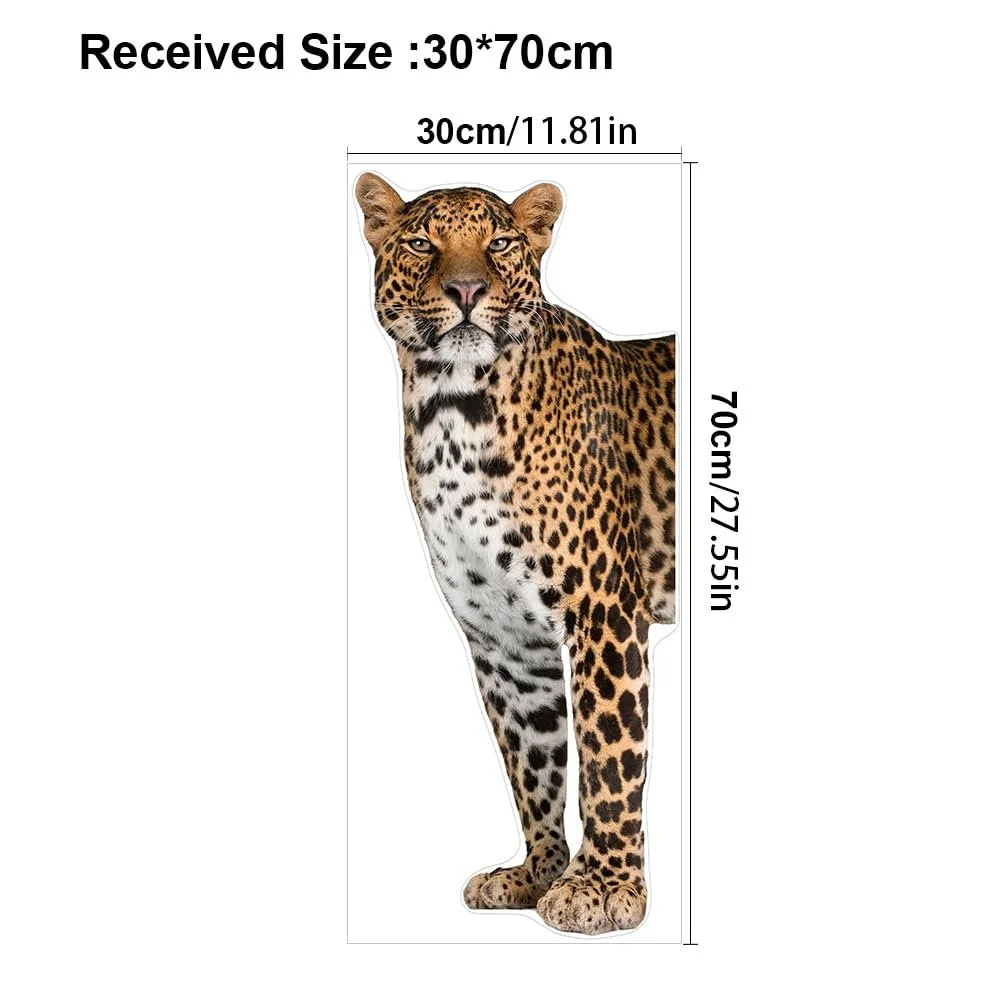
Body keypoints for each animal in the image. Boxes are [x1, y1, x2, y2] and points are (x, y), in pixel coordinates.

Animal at [355, 173, 676, 935]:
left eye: (499, 242)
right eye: (422, 243)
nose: (468, 288)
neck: (452, 410)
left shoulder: (603, 610)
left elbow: (608, 756)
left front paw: (605, 889)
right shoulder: (504, 636)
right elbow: (535, 760)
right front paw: (538, 874)